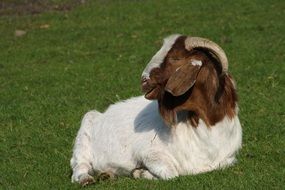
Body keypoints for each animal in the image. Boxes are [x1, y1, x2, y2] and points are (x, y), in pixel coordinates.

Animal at [70, 34, 241, 186]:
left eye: (176, 58)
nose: (144, 80)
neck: (209, 125)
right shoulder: (149, 152)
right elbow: (172, 173)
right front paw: (140, 172)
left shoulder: (228, 159)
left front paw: (139, 172)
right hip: (85, 132)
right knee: (79, 166)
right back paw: (86, 179)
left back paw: (107, 175)